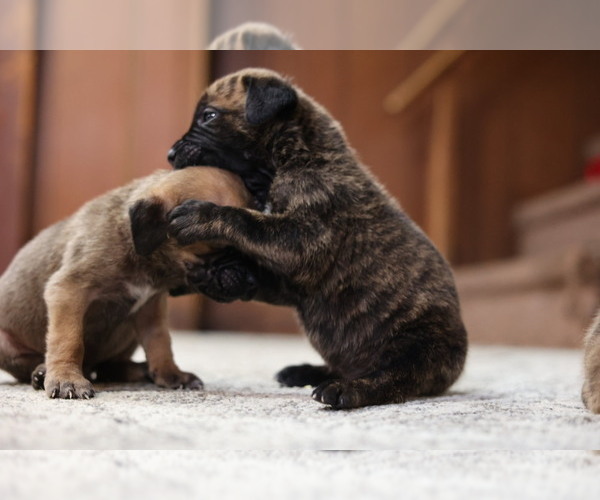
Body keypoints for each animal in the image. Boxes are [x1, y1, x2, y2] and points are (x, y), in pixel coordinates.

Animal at [168, 67, 468, 410]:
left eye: (209, 115)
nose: (170, 154)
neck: (298, 154)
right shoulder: (290, 277)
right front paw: (223, 276)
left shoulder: (302, 239)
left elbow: (245, 220)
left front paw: (202, 216)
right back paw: (307, 371)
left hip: (416, 346)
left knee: (390, 377)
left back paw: (345, 389)